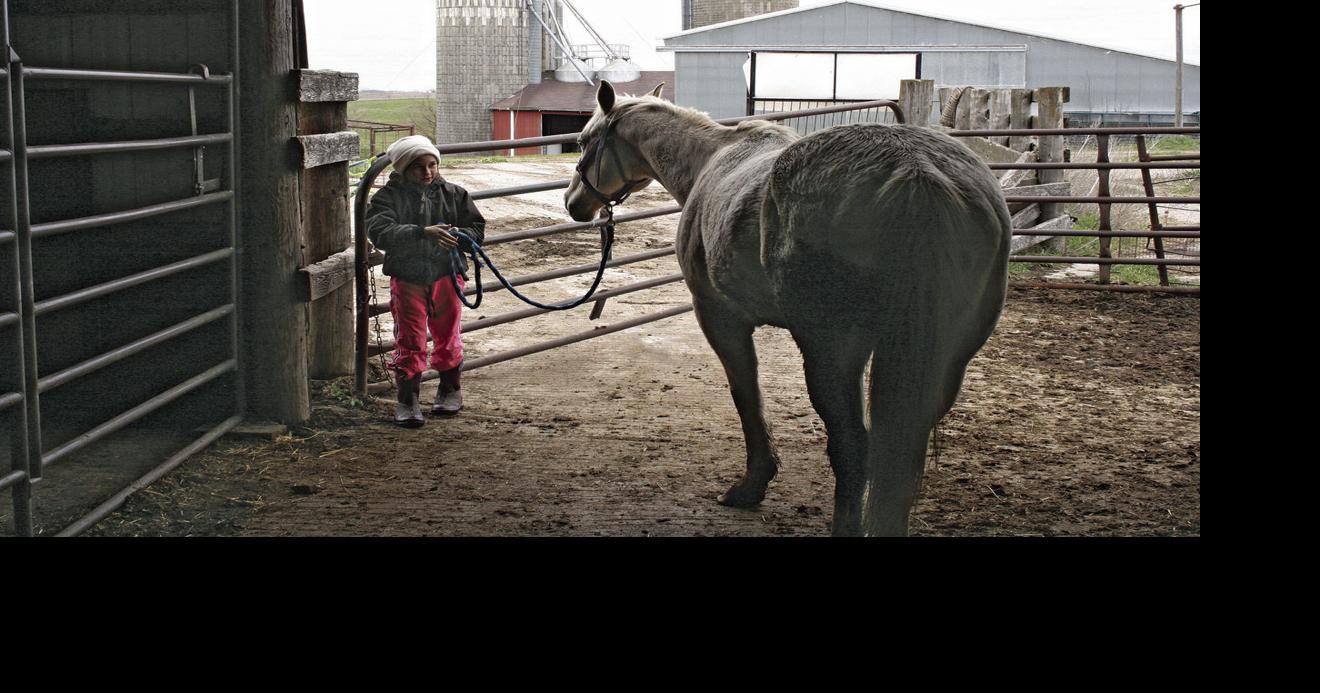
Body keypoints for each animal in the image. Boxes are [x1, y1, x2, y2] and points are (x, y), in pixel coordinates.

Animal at [564, 81, 1011, 536]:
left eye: (583, 141)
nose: (573, 202)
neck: (710, 160)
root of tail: (915, 172)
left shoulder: (720, 318)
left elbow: (746, 394)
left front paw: (751, 485)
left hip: (832, 350)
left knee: (853, 445)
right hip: (947, 357)